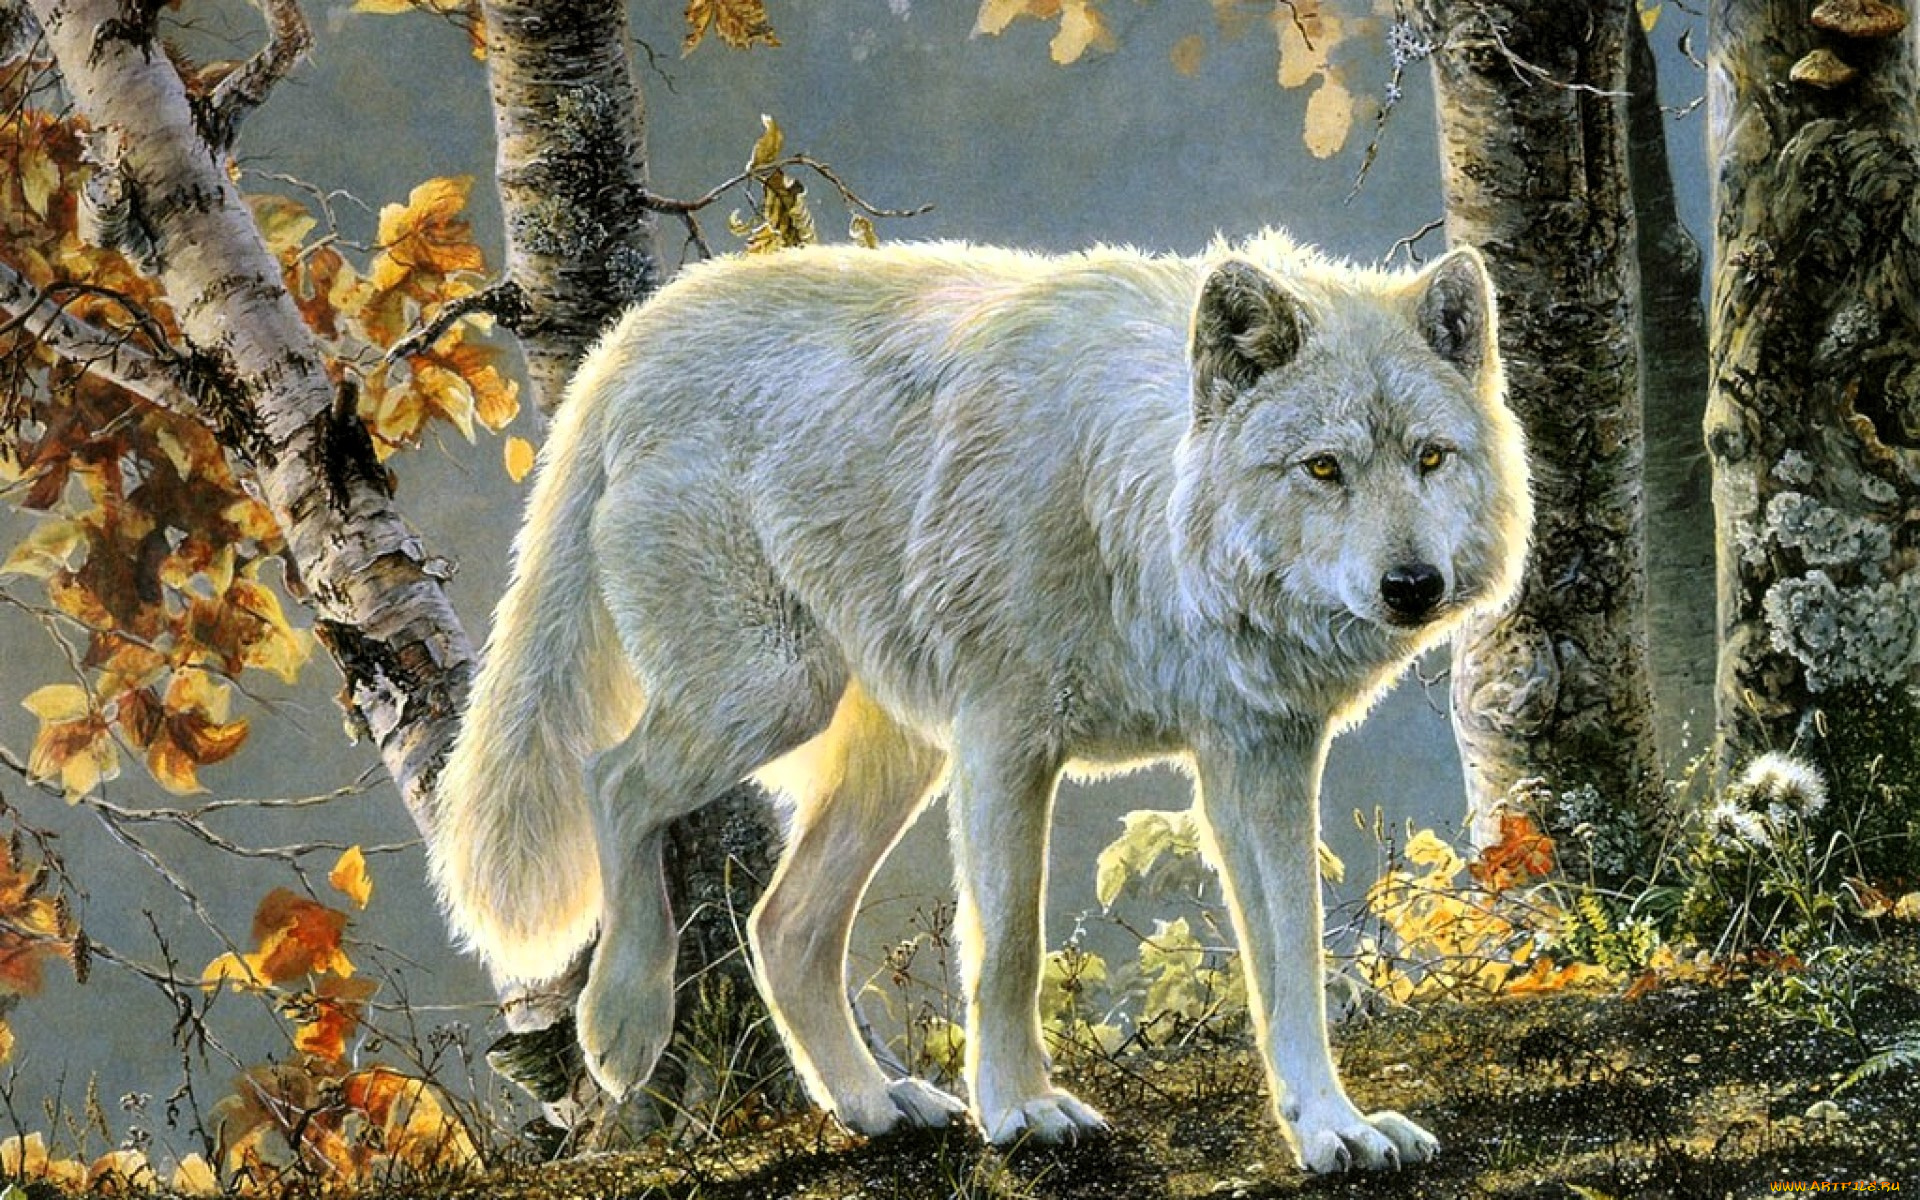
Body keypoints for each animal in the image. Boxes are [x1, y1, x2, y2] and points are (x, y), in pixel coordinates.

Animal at [430, 231, 1530, 1174]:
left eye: (1431, 457)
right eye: (1323, 468)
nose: (1413, 586)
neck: (1133, 510)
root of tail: (633, 339)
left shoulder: (1258, 759)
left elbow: (1293, 957)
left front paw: (1331, 1127)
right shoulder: (1008, 742)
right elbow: (1008, 948)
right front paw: (1020, 1109)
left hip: (891, 755)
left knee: (783, 926)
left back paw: (873, 1104)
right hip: (770, 696)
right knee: (610, 780)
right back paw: (622, 1025)